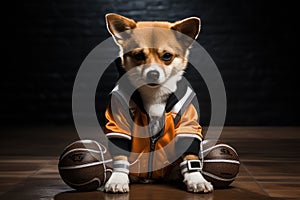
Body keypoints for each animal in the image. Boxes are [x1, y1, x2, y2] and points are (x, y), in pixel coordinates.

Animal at [103, 12, 213, 194]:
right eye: (139, 55)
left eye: (167, 56)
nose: (153, 73)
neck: (154, 94)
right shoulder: (118, 122)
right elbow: (120, 154)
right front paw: (118, 179)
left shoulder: (187, 124)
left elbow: (190, 155)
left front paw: (197, 179)